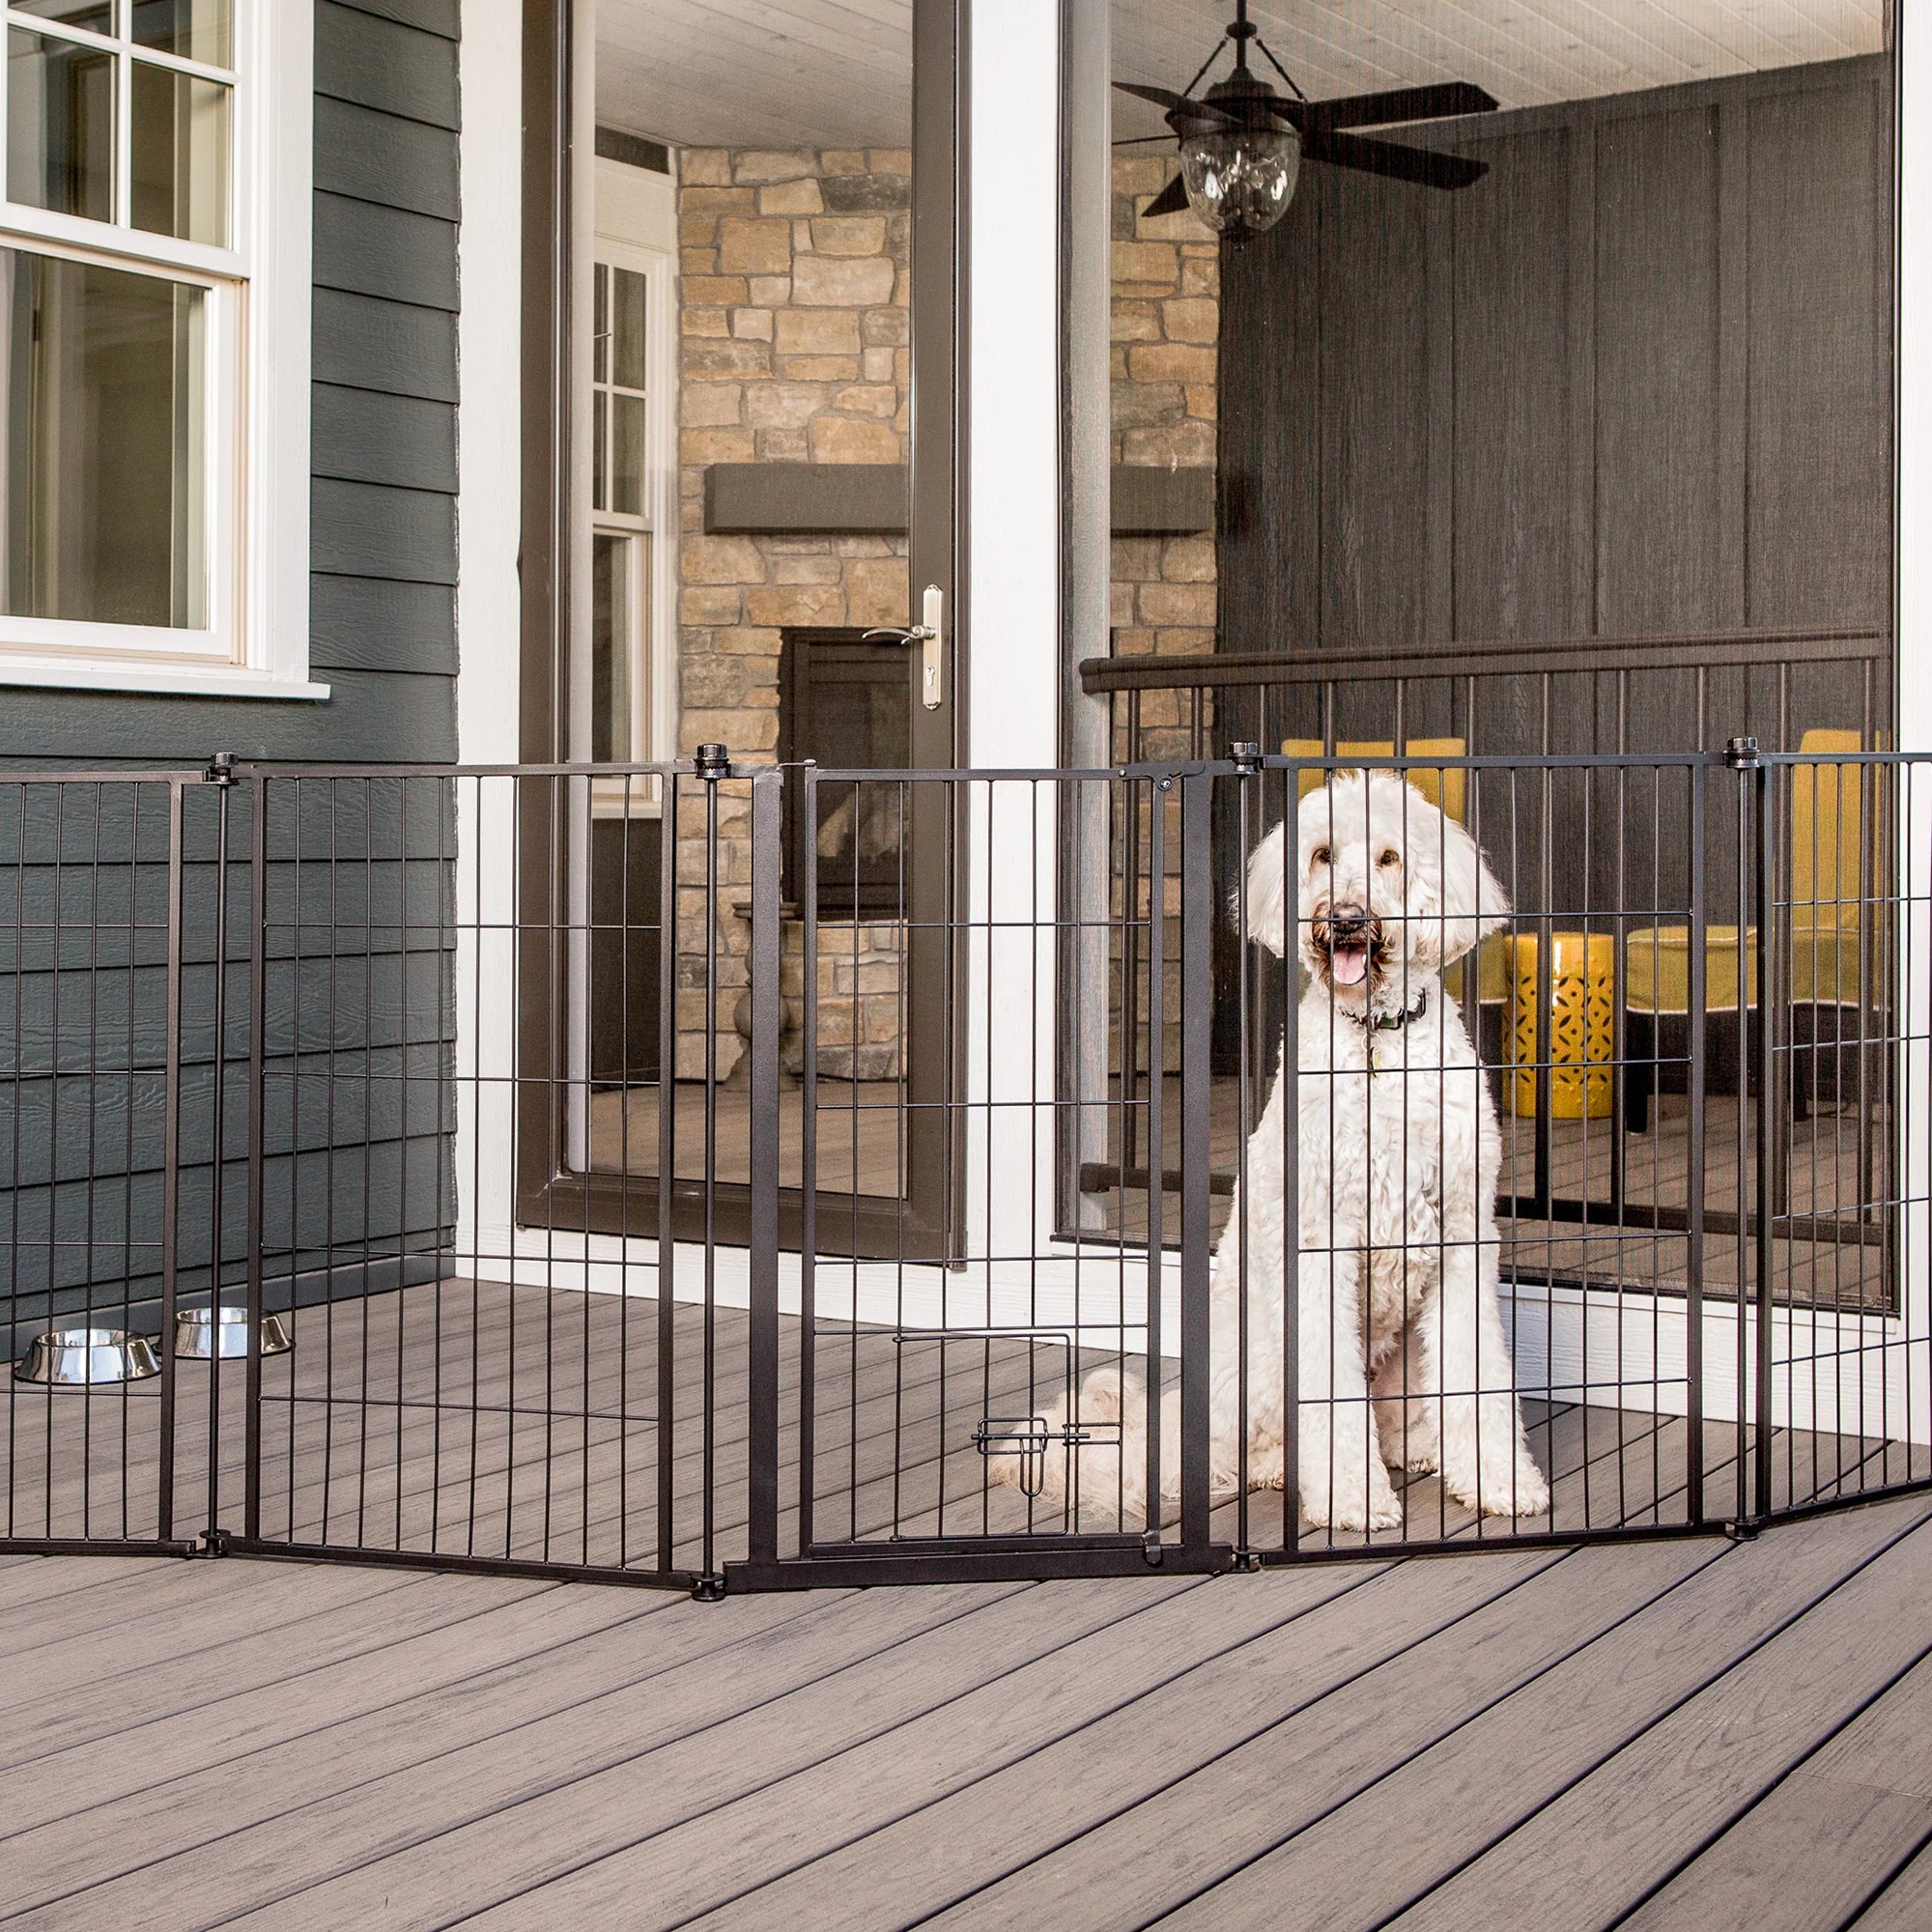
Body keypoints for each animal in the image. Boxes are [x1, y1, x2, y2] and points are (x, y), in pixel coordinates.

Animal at [1020, 769, 1546, 1538]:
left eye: (1390, 857)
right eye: (1322, 854)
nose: (1348, 917)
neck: (1377, 1045)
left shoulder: (1461, 1238)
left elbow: (1478, 1374)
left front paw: (1503, 1481)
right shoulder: (1322, 1245)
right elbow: (1331, 1402)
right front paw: (1355, 1499)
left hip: (1401, 1355)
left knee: (1401, 1413)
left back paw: (1419, 1449)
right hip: (1259, 1359)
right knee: (1252, 1444)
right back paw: (1282, 1469)